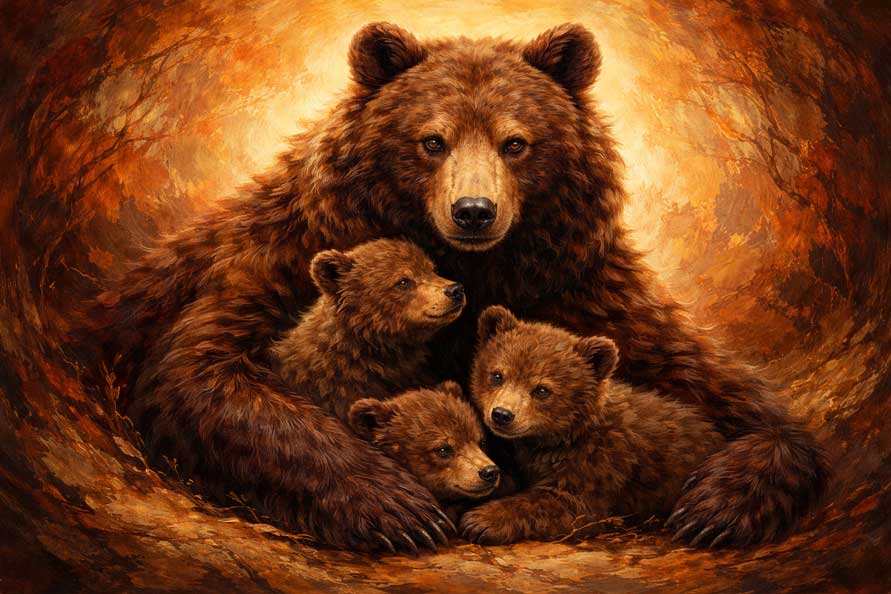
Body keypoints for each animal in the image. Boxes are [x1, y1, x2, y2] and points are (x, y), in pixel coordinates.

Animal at [458, 306, 725, 545]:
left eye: (542, 389)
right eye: (497, 375)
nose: (502, 414)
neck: (566, 434)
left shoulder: (599, 466)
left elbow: (568, 504)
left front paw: (481, 520)